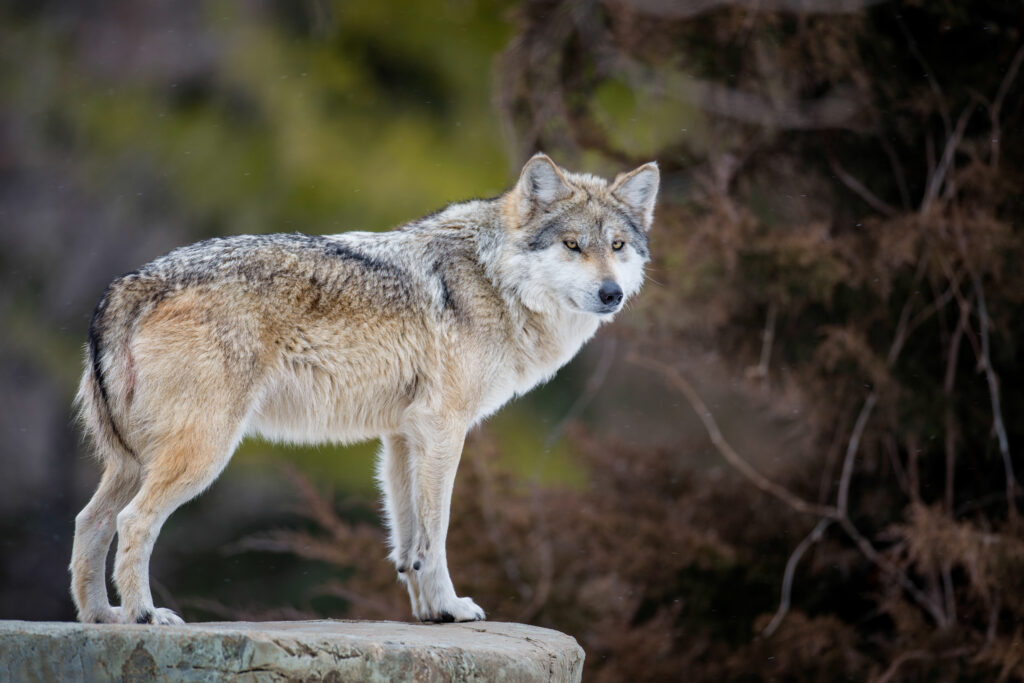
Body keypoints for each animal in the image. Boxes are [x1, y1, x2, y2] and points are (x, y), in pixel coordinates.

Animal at [70, 153, 659, 625]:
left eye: (617, 246)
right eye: (572, 245)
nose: (611, 293)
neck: (494, 279)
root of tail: (128, 283)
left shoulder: (402, 436)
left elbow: (408, 542)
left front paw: (429, 613)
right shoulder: (443, 430)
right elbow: (437, 532)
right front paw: (452, 606)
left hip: (133, 461)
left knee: (90, 522)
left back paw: (103, 617)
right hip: (202, 454)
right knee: (132, 522)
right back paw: (144, 615)